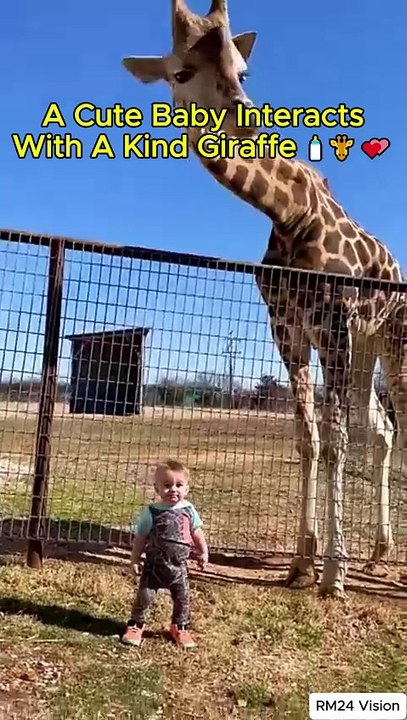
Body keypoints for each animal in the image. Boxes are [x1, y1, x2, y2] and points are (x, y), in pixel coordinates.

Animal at [122, 0, 406, 598]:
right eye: (181, 72)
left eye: (243, 70)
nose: (247, 118)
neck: (289, 214)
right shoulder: (288, 327)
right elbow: (309, 440)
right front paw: (303, 560)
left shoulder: (331, 322)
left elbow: (335, 440)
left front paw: (332, 575)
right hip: (367, 345)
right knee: (383, 429)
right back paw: (379, 552)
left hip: (393, 339)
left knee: (398, 420)